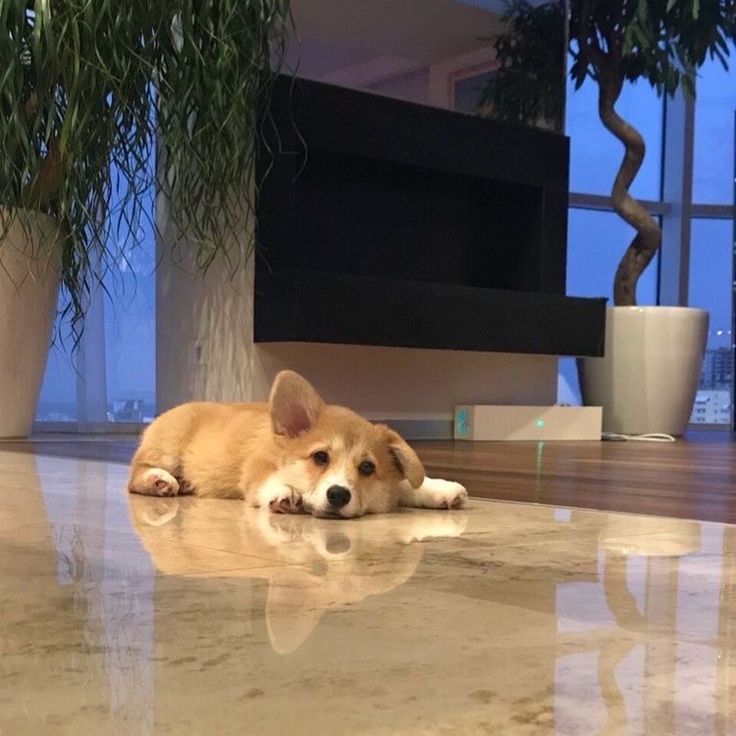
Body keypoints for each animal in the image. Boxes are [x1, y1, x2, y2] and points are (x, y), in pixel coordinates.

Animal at [127, 368, 468, 516]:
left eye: (368, 468)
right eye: (320, 457)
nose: (338, 495)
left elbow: (407, 483)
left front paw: (440, 490)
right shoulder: (256, 470)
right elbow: (269, 483)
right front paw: (285, 493)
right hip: (168, 445)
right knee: (135, 475)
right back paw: (159, 480)